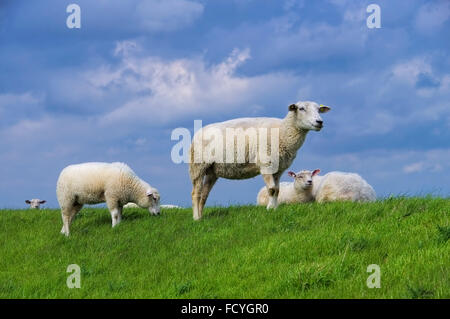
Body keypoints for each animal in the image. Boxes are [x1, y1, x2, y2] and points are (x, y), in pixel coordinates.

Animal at [188, 100, 328, 220]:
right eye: (301, 108)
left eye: (319, 110)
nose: (319, 122)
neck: (283, 132)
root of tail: (198, 132)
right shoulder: (265, 164)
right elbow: (271, 189)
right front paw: (270, 209)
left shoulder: (278, 169)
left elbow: (277, 190)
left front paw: (275, 208)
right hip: (198, 166)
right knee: (196, 193)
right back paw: (196, 218)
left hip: (212, 170)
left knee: (204, 194)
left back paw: (201, 216)